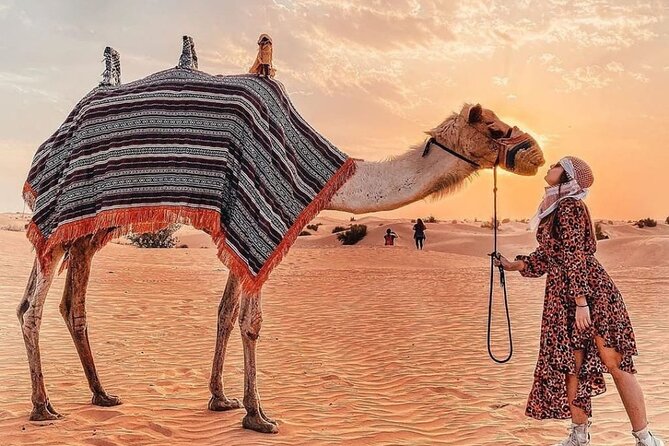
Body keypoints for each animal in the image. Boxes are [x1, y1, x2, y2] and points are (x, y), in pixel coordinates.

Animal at [17, 41, 545, 434]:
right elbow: (251, 322)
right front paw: (258, 415)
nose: (537, 153)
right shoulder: (255, 229)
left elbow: (225, 313)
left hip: (91, 228)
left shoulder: (236, 235)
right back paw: (43, 407)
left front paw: (221, 399)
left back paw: (101, 394)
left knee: (72, 303)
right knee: (31, 306)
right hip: (61, 217)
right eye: (494, 128)